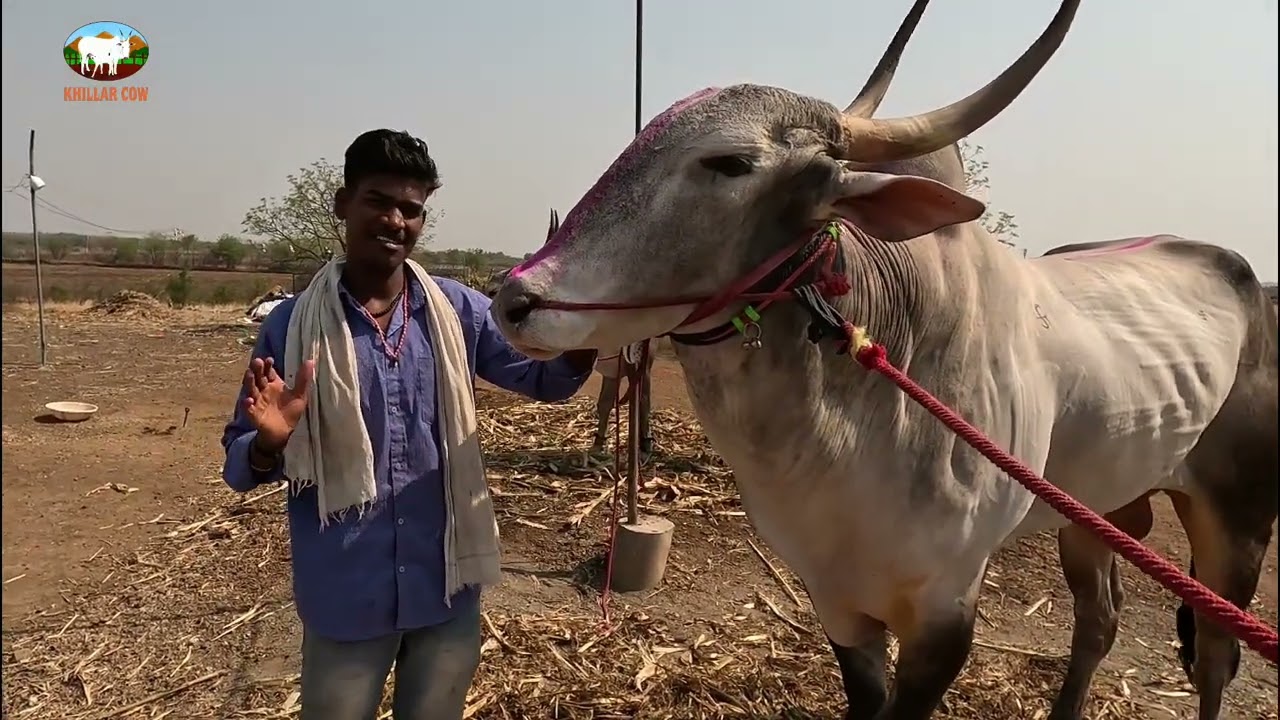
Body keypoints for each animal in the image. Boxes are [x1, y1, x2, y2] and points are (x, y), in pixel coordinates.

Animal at [489, 1, 1278, 718]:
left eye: (729, 163)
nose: (515, 300)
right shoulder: (836, 600)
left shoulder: (946, 610)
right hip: (1098, 512)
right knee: (1100, 622)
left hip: (1235, 523)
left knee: (1215, 656)